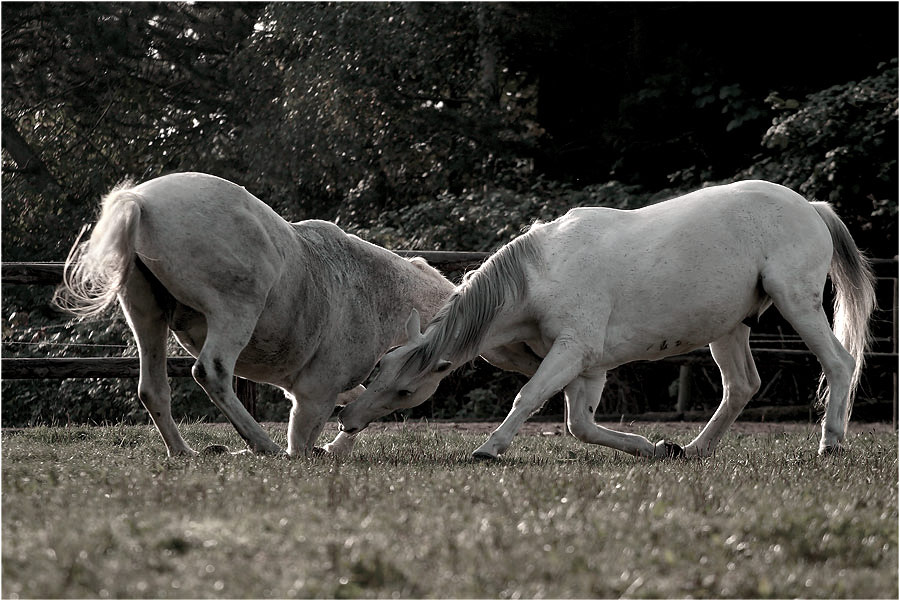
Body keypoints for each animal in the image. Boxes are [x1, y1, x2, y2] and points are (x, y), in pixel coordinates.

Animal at [54, 172, 541, 457]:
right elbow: (303, 439)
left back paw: (185, 453)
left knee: (153, 389)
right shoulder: (313, 395)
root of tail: (140, 201)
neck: (380, 291)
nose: (537, 357)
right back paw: (259, 445)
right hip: (234, 310)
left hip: (146, 316)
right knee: (211, 373)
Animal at [339, 180, 877, 459]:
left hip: (796, 303)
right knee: (741, 386)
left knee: (839, 364)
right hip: (728, 329)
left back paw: (830, 443)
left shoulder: (572, 352)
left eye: (406, 391)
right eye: (378, 369)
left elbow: (528, 397)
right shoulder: (588, 367)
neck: (540, 274)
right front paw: (651, 447)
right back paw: (693, 449)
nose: (347, 420)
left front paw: (490, 448)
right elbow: (580, 424)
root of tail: (810, 205)